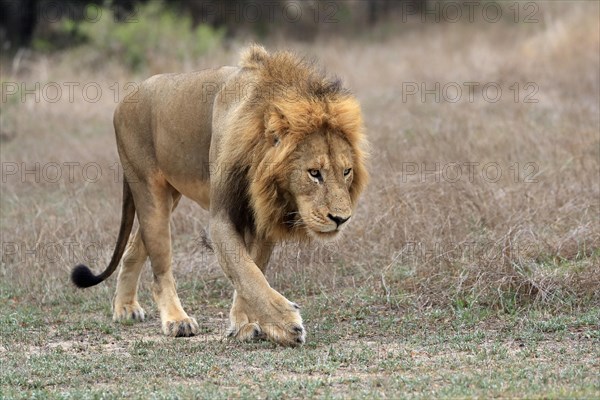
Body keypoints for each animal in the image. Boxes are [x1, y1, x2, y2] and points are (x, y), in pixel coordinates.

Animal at [72, 43, 368, 344]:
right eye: (314, 173)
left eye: (346, 171)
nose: (341, 219)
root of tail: (126, 97)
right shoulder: (222, 218)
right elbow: (247, 273)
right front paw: (285, 323)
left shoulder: (262, 218)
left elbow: (252, 269)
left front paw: (244, 324)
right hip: (149, 191)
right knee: (160, 269)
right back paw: (177, 320)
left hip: (170, 196)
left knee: (134, 247)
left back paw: (125, 308)